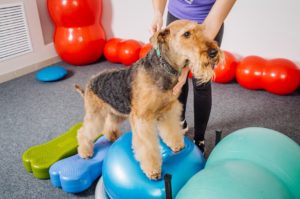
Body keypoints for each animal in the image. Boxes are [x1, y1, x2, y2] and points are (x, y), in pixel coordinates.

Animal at [74, 19, 221, 180]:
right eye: (186, 34)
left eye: (202, 30)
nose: (214, 52)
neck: (164, 67)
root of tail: (89, 83)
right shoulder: (142, 118)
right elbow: (147, 146)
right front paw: (153, 170)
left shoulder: (168, 109)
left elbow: (171, 130)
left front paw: (177, 144)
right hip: (96, 115)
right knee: (83, 132)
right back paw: (85, 151)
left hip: (117, 112)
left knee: (108, 124)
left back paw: (112, 136)